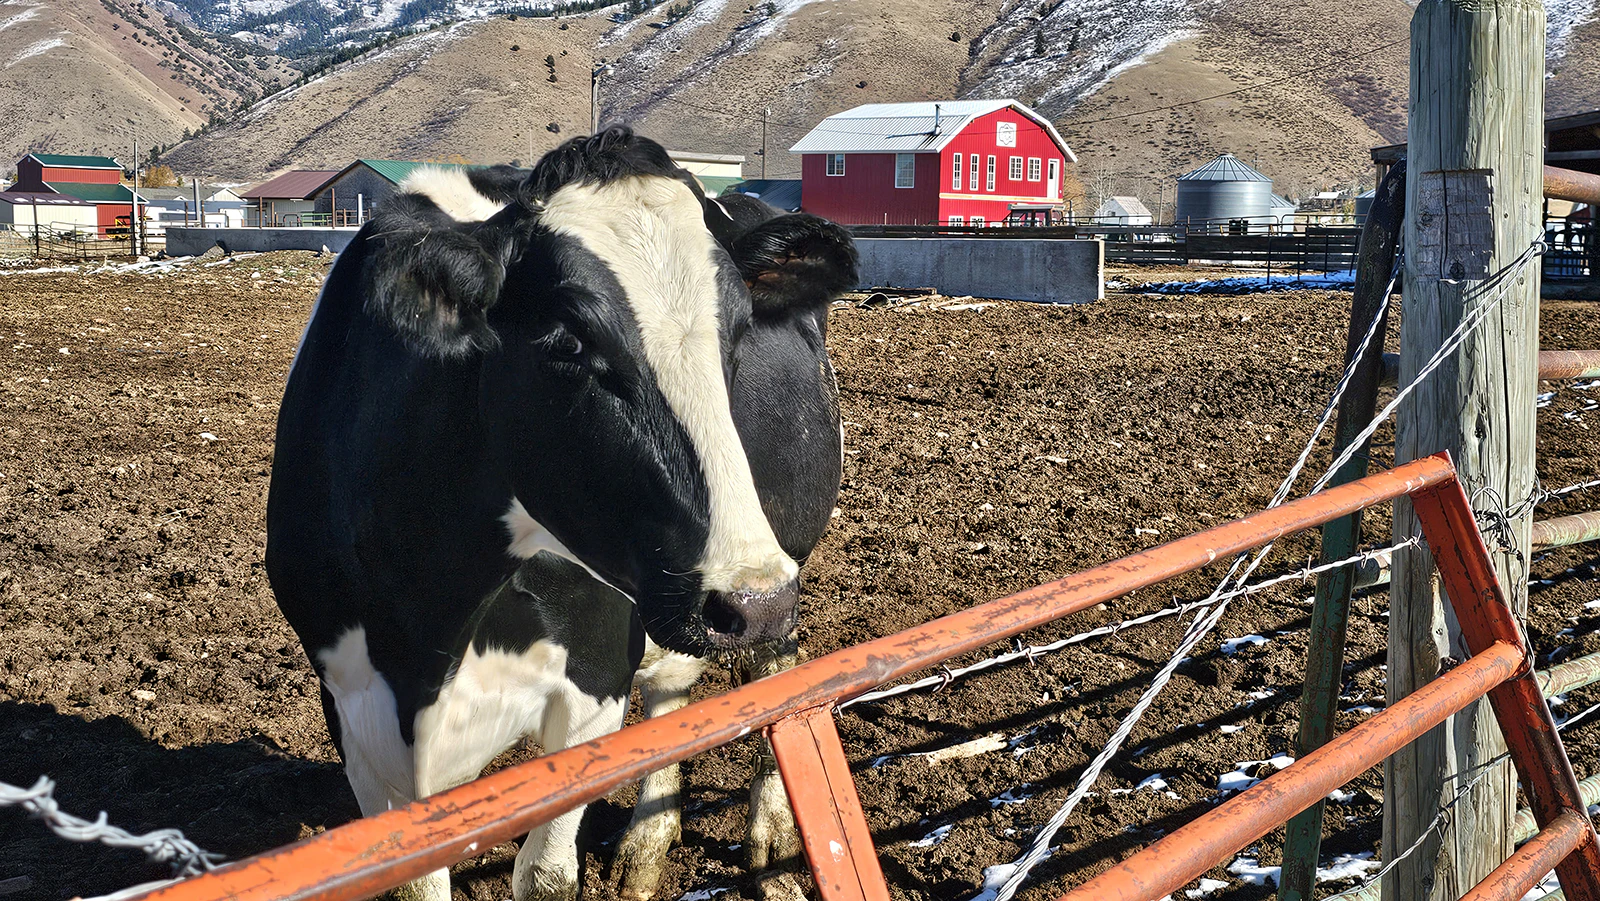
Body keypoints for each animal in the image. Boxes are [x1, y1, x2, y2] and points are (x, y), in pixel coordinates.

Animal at [265, 128, 854, 901]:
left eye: (737, 331)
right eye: (569, 340)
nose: (753, 598)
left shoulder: (594, 678)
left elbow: (543, 875)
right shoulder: (354, 712)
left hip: (784, 545)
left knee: (775, 670)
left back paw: (772, 838)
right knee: (674, 686)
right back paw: (645, 846)